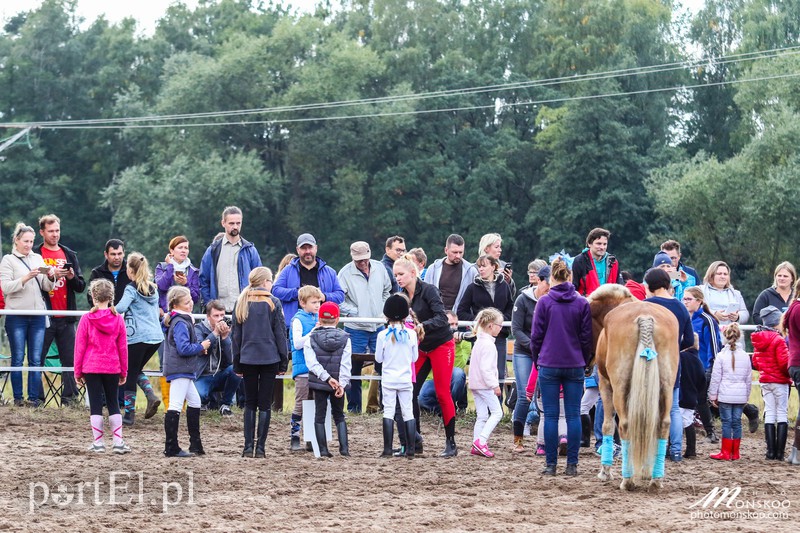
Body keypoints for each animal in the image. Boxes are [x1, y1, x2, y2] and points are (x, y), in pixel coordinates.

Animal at [588, 284, 680, 488]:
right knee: (662, 424)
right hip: (666, 387)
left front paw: (605, 471)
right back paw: (656, 478)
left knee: (625, 425)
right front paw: (646, 471)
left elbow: (607, 425)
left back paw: (627, 480)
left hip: (619, 388)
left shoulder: (605, 385)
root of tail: (645, 317)